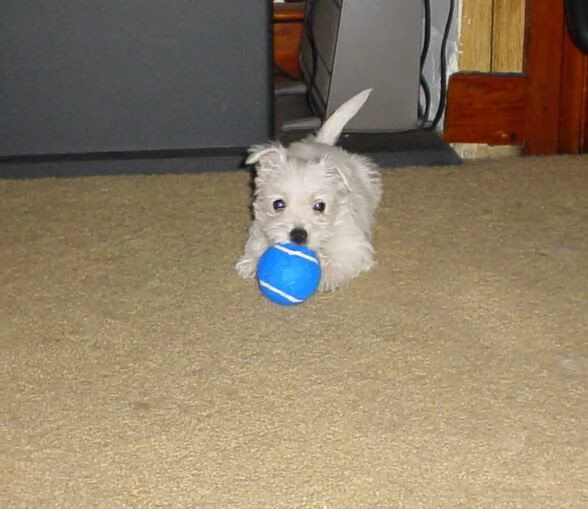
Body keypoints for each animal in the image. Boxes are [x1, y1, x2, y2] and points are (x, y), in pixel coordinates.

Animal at [234, 89, 382, 292]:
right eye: (278, 204)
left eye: (320, 206)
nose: (298, 235)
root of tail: (322, 143)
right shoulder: (259, 226)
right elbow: (257, 243)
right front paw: (251, 263)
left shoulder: (354, 245)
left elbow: (343, 258)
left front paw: (328, 276)